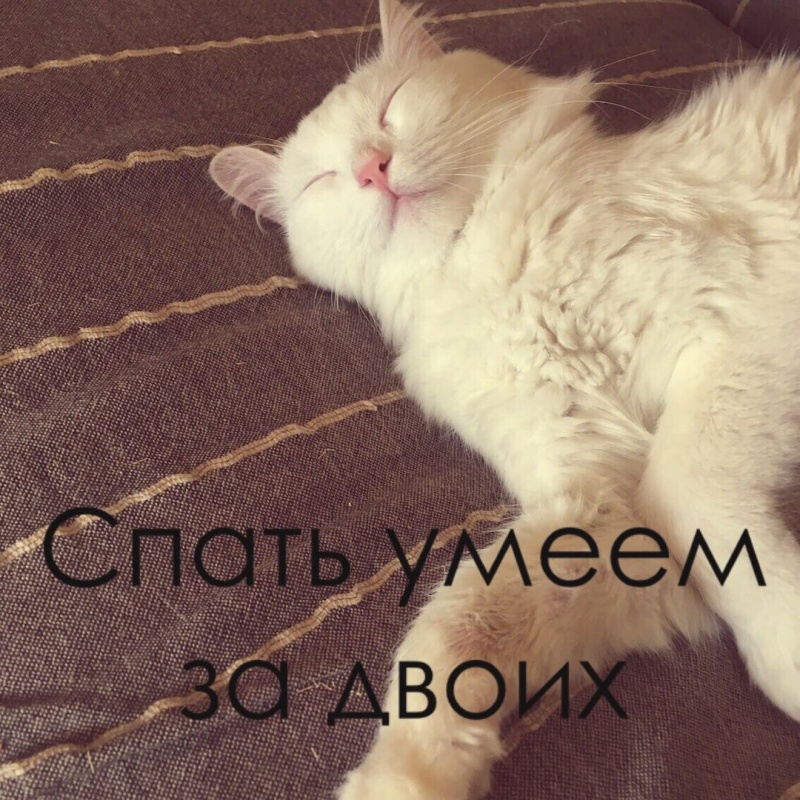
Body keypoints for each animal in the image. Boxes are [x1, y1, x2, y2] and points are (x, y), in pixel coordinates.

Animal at [209, 1, 800, 797]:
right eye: (322, 182)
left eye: (392, 107)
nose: (371, 168)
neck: (473, 259)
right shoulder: (599, 503)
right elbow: (455, 633)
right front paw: (403, 778)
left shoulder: (740, 324)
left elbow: (696, 495)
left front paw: (788, 650)